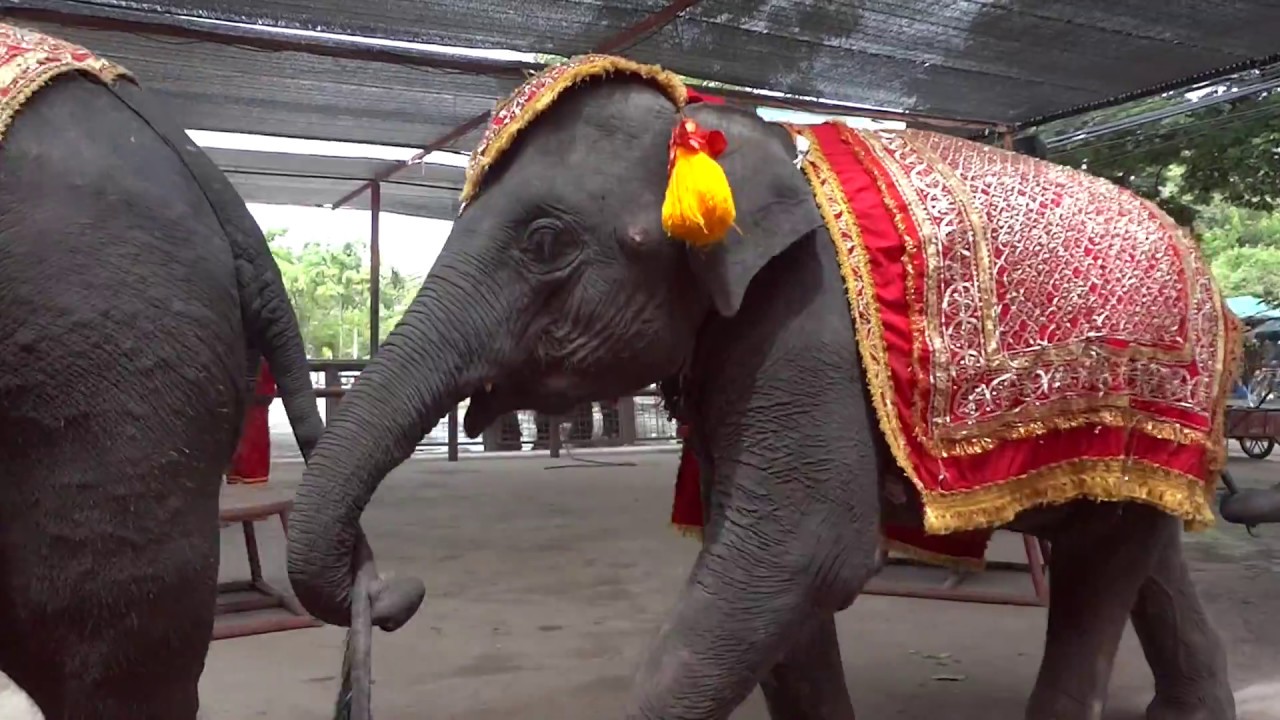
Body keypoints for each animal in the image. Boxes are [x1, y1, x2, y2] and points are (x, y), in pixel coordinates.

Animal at [285, 66, 1237, 720]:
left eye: (546, 243)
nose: (392, 588)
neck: (727, 129)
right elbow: (758, 566)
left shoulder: (805, 319)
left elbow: (798, 550)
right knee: (1135, 543)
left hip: (1140, 393)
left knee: (1099, 559)